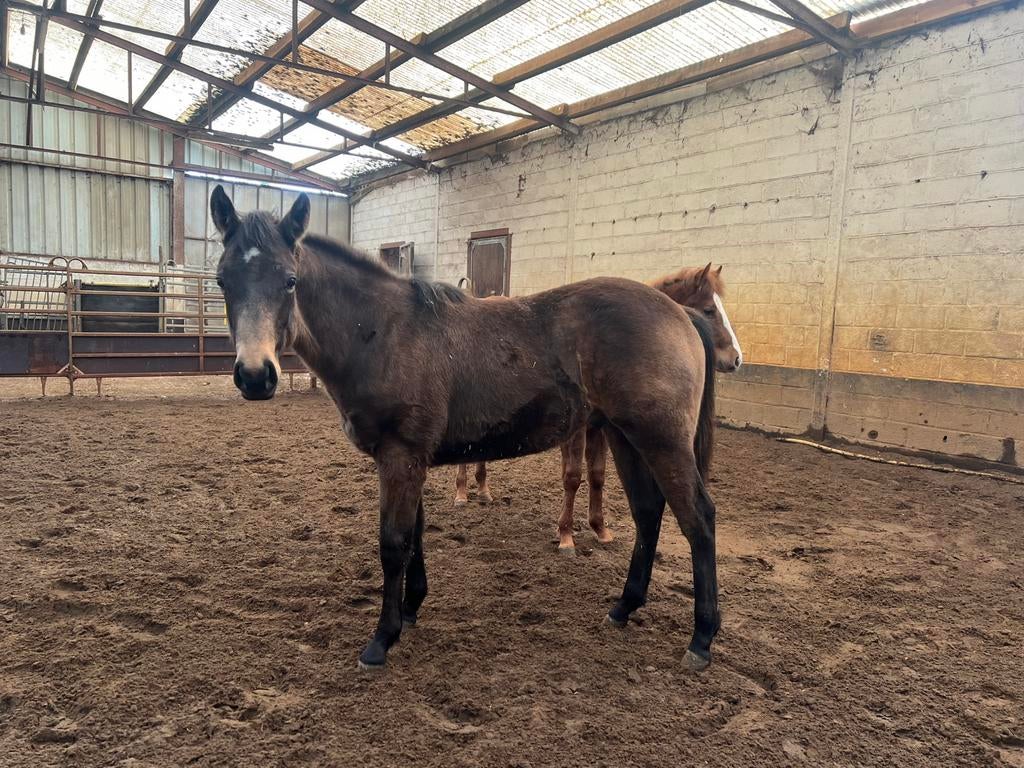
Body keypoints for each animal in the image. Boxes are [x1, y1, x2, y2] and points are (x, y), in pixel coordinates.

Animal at [456, 264, 742, 554]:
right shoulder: (578, 431)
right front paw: (566, 535)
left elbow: (596, 475)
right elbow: (572, 476)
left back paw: (483, 489)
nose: (736, 359)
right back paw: (461, 492)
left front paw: (599, 528)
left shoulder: (599, 429)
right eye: (709, 310)